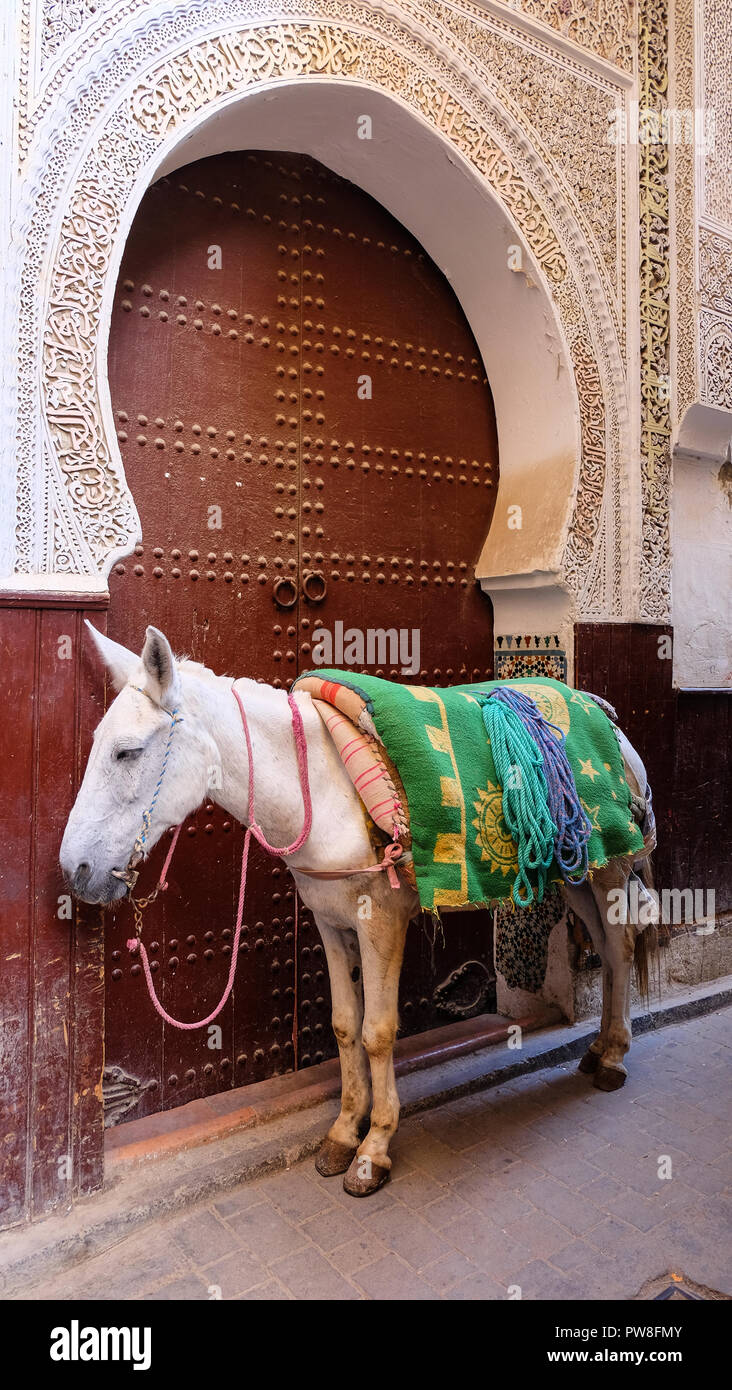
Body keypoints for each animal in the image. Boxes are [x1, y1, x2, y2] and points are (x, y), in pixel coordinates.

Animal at [61, 623, 658, 1197]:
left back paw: (612, 1057)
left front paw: (374, 1150)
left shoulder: (382, 923)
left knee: (621, 947)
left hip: (608, 868)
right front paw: (345, 1132)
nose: (75, 870)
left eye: (127, 752)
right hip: (578, 869)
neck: (319, 788)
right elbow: (346, 1026)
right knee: (604, 945)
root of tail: (602, 714)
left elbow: (378, 1032)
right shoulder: (331, 922)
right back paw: (599, 1047)